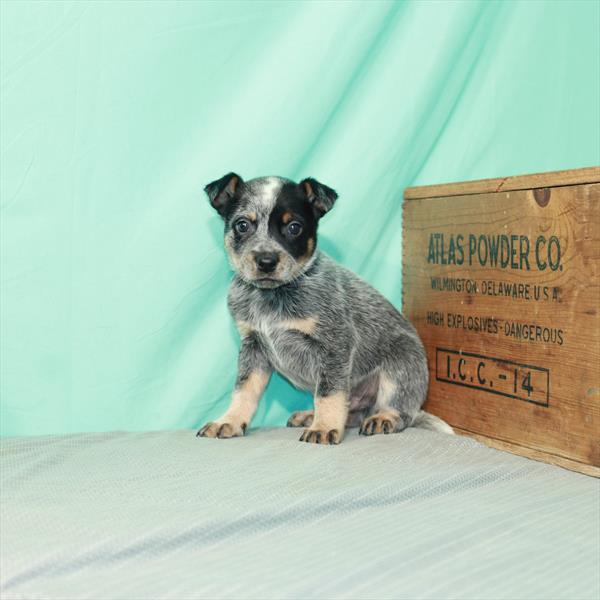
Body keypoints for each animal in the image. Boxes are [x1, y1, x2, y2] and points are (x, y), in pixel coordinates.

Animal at [197, 173, 450, 446]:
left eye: (294, 227)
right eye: (242, 225)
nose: (266, 261)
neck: (272, 297)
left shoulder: (335, 344)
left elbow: (328, 392)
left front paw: (324, 427)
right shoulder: (253, 345)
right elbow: (244, 389)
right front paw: (229, 420)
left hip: (401, 365)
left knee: (401, 410)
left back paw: (384, 417)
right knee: (353, 412)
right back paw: (311, 415)